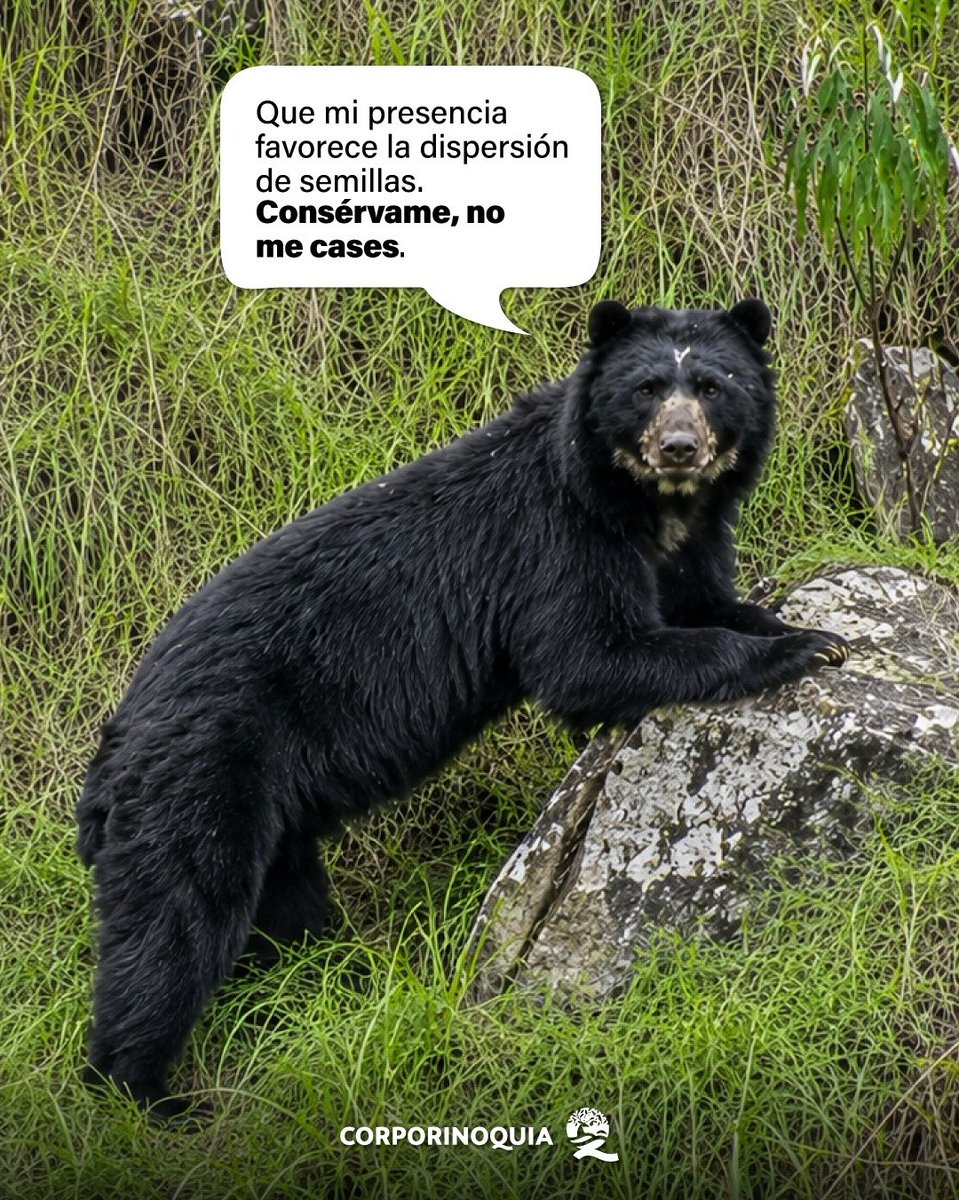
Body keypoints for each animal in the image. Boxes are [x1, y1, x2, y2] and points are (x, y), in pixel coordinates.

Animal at [77, 297, 849, 1119]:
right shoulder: (559, 537)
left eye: (711, 385)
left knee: (283, 908)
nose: (678, 447)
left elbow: (705, 601)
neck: (648, 506)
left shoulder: (687, 542)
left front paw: (814, 631)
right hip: (204, 778)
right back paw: (145, 1091)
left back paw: (321, 985)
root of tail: (114, 744)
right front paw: (796, 652)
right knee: (176, 923)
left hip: (270, 818)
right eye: (646, 389)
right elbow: (587, 655)